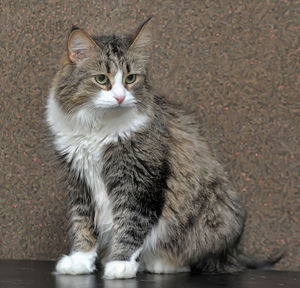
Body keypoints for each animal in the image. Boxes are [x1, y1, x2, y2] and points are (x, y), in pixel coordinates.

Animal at [46, 18, 282, 280]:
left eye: (130, 79)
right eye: (101, 79)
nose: (120, 98)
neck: (96, 128)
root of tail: (234, 251)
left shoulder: (140, 180)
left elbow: (130, 224)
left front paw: (120, 263)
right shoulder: (78, 180)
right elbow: (83, 225)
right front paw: (80, 260)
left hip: (215, 216)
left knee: (193, 258)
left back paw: (160, 263)